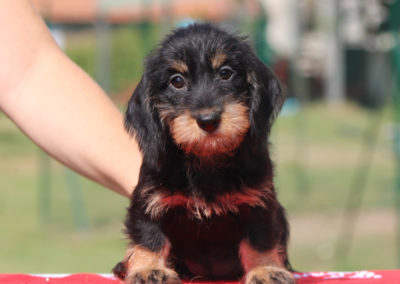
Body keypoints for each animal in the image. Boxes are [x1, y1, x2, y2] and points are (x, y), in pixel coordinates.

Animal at [112, 22, 294, 284]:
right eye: (177, 81)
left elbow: (259, 241)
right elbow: (149, 238)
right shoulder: (148, 202)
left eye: (226, 73)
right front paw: (149, 269)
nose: (208, 120)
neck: (207, 160)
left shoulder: (260, 205)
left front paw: (265, 270)